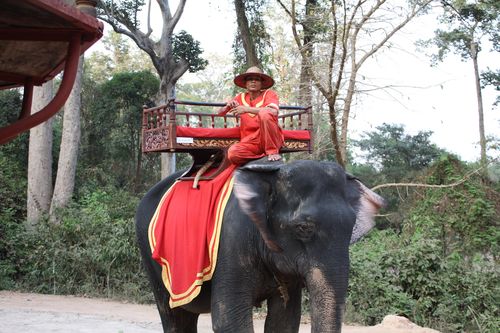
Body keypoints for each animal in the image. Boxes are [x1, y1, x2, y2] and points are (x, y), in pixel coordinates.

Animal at [135, 158, 384, 332]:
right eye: (303, 228)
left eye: (351, 227)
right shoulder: (232, 240)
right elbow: (229, 320)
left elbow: (284, 321)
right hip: (151, 257)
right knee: (174, 317)